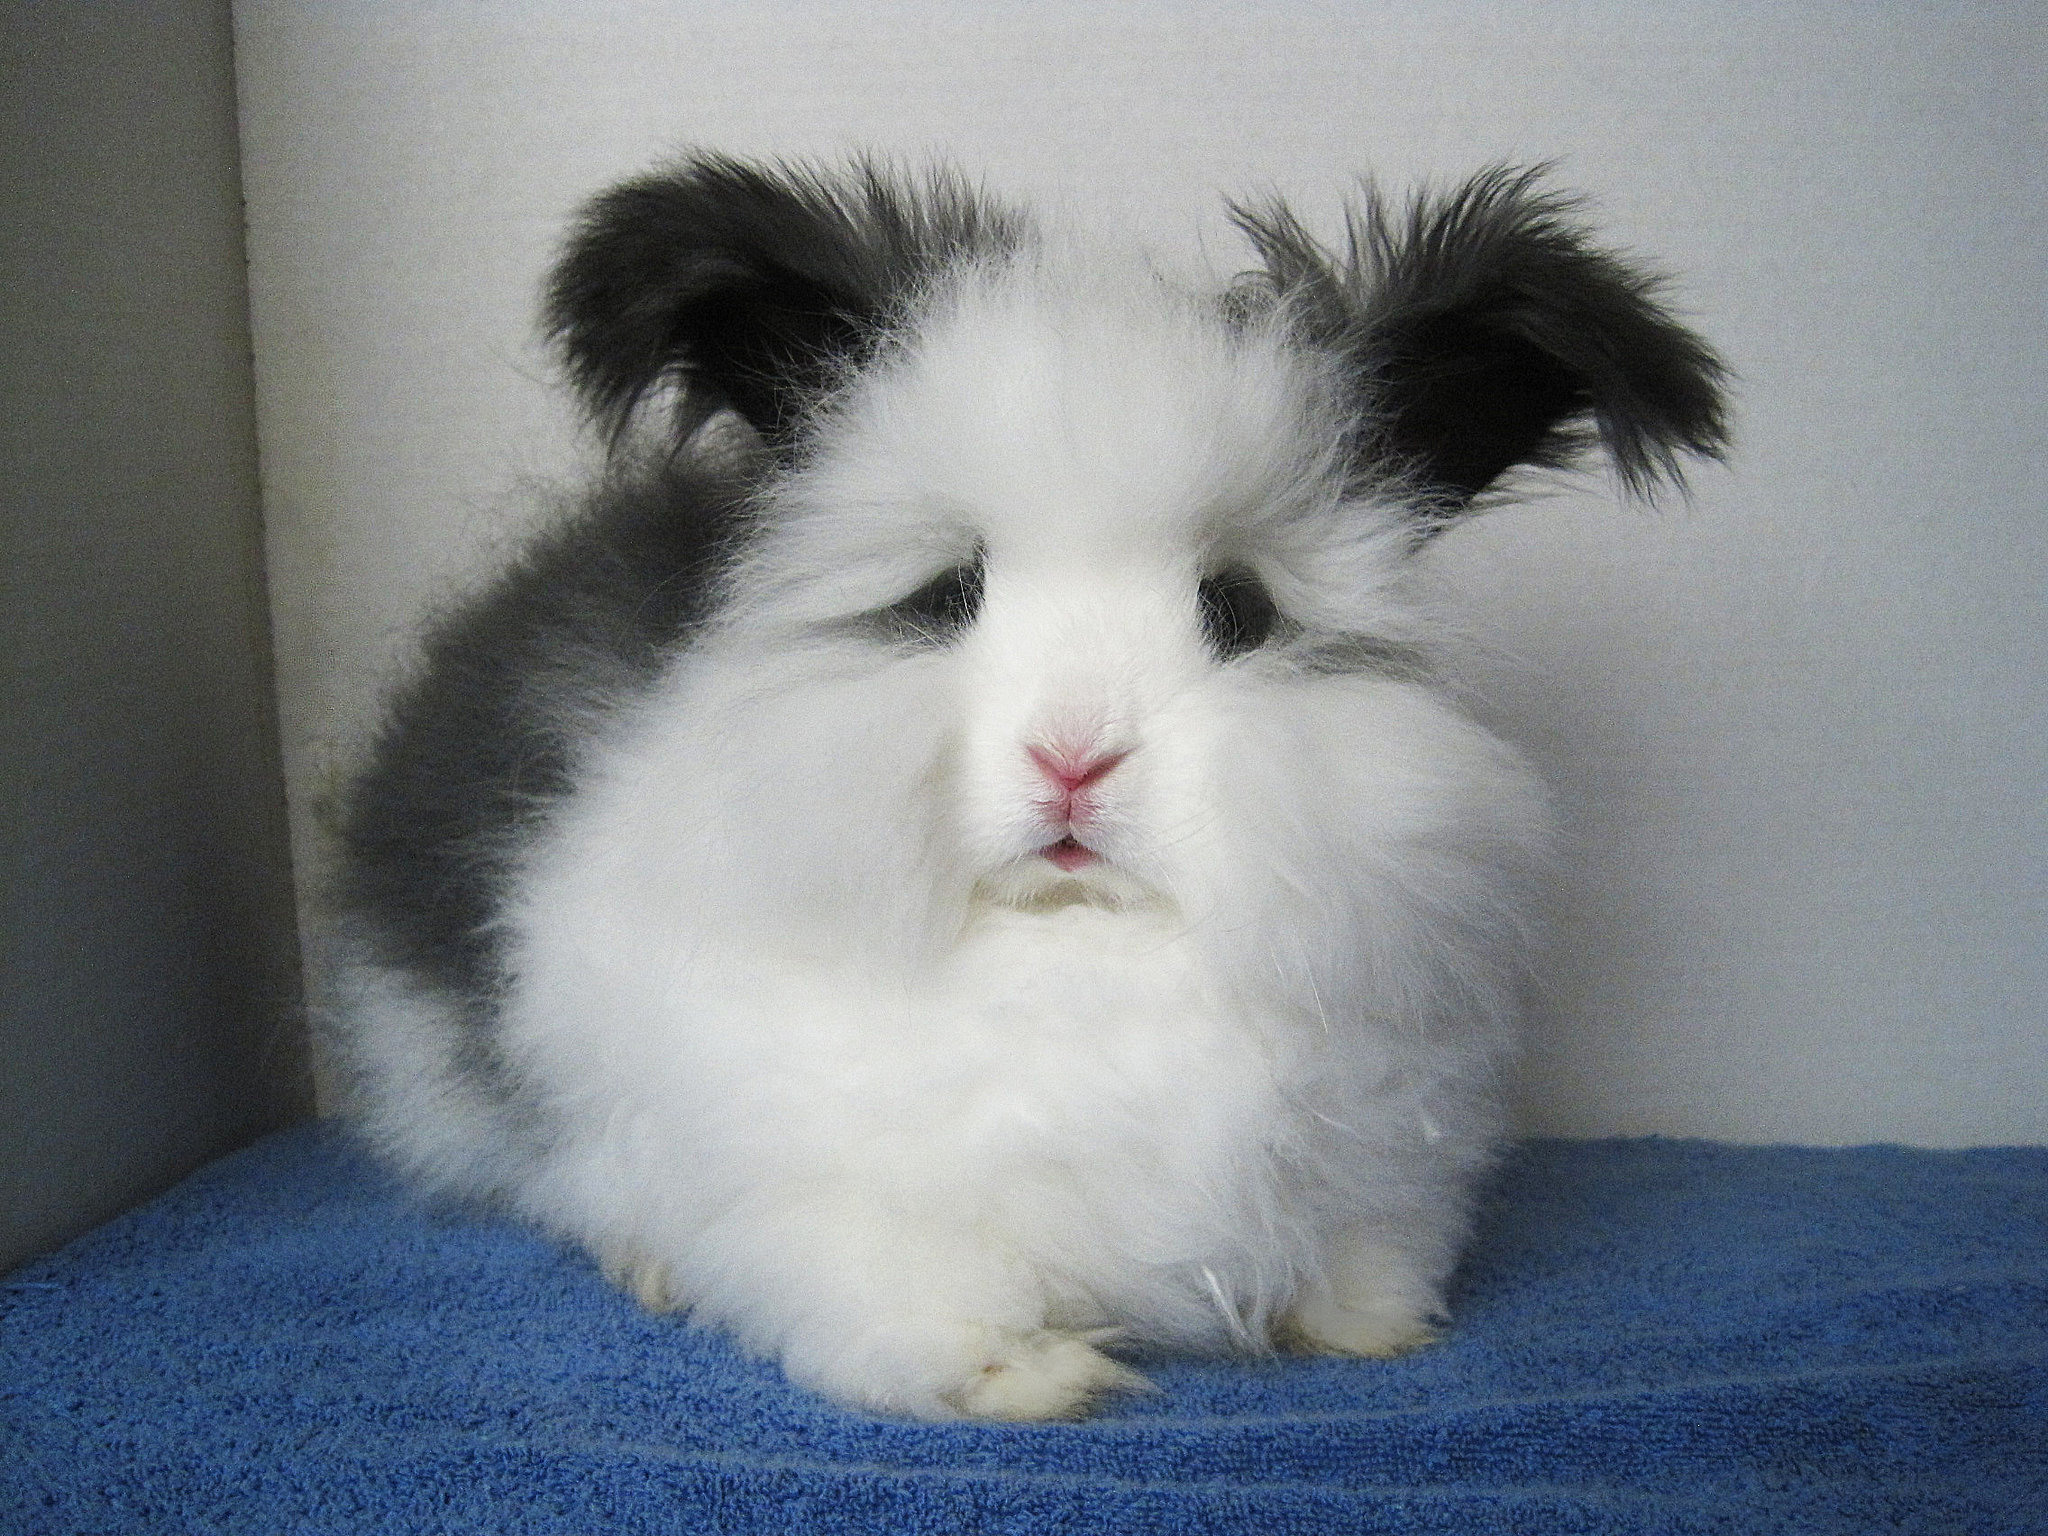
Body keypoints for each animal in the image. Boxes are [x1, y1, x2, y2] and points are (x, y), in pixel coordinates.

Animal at [326, 154, 1727, 1421]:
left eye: (1237, 609)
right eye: (949, 593)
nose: (1073, 756)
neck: (1076, 950)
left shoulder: (1384, 1146)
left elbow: (1361, 1257)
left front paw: (1364, 1327)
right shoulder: (830, 1195)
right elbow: (903, 1293)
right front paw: (1033, 1378)